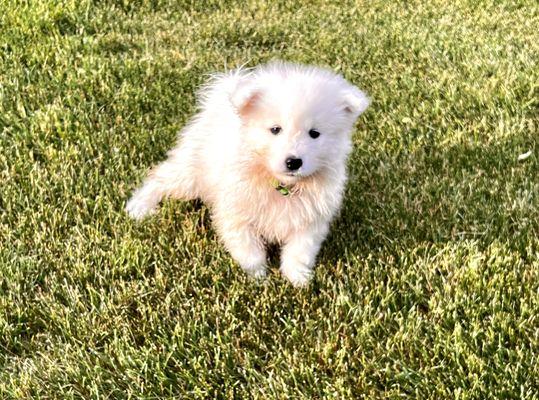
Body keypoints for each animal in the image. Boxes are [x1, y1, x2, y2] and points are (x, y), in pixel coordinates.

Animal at [126, 61, 372, 286]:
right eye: (275, 129)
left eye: (314, 133)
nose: (293, 162)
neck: (280, 186)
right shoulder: (236, 213)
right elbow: (249, 249)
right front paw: (258, 278)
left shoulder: (310, 219)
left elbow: (299, 251)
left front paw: (298, 280)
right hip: (191, 173)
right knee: (160, 179)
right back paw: (140, 207)